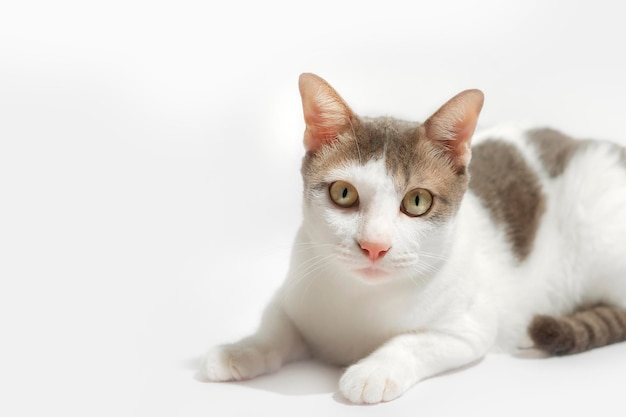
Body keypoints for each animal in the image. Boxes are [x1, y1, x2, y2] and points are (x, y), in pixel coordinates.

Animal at [202, 72, 624, 404]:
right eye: (344, 193)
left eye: (417, 201)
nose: (374, 245)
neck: (361, 301)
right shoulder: (294, 291)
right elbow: (275, 328)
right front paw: (241, 349)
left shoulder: (469, 329)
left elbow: (414, 341)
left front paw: (374, 370)